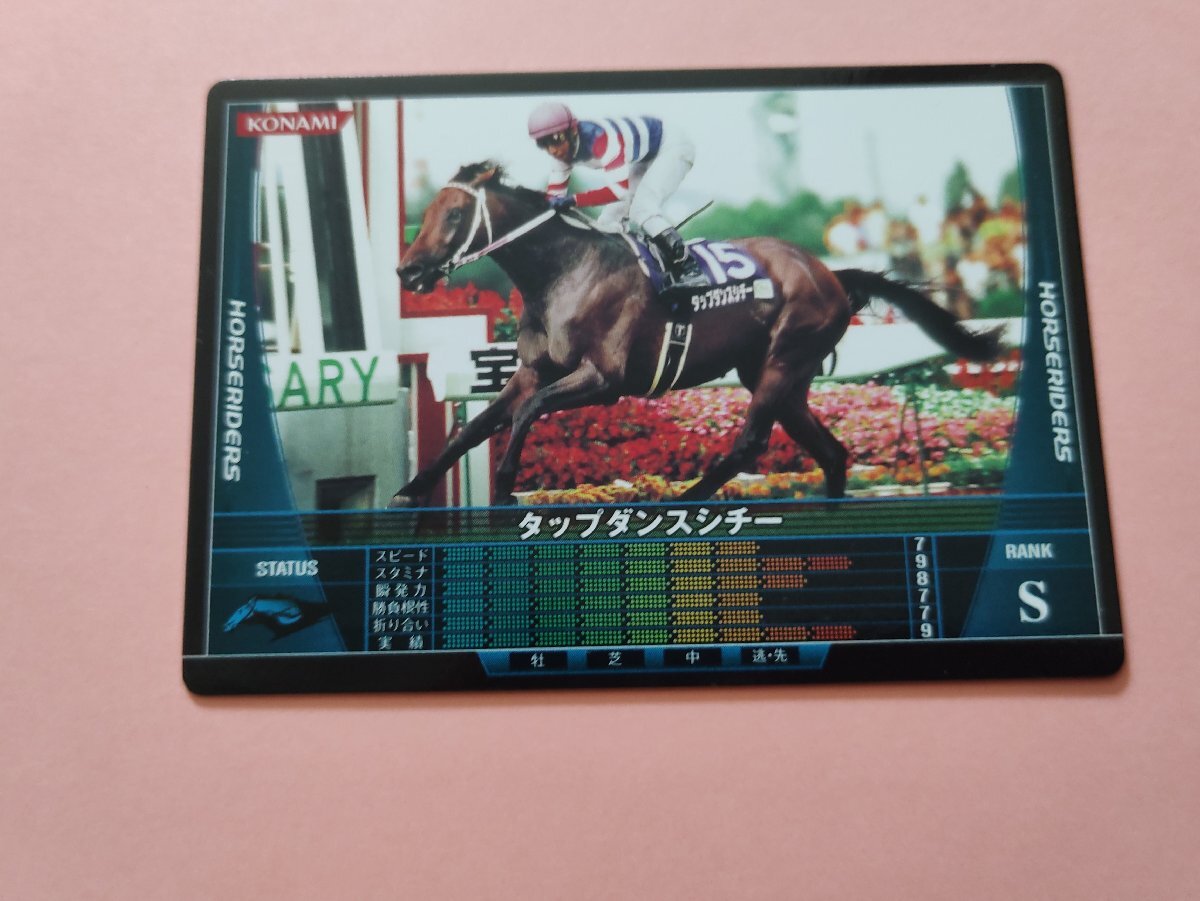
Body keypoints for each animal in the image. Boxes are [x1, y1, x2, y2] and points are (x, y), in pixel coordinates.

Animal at [392, 162, 1001, 507]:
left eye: (453, 216)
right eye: (429, 211)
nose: (407, 271)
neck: (565, 272)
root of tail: (830, 273)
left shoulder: (605, 380)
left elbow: (525, 413)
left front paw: (504, 486)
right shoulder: (532, 370)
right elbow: (475, 429)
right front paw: (411, 489)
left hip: (784, 358)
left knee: (751, 442)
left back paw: (686, 499)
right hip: (780, 374)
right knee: (831, 453)